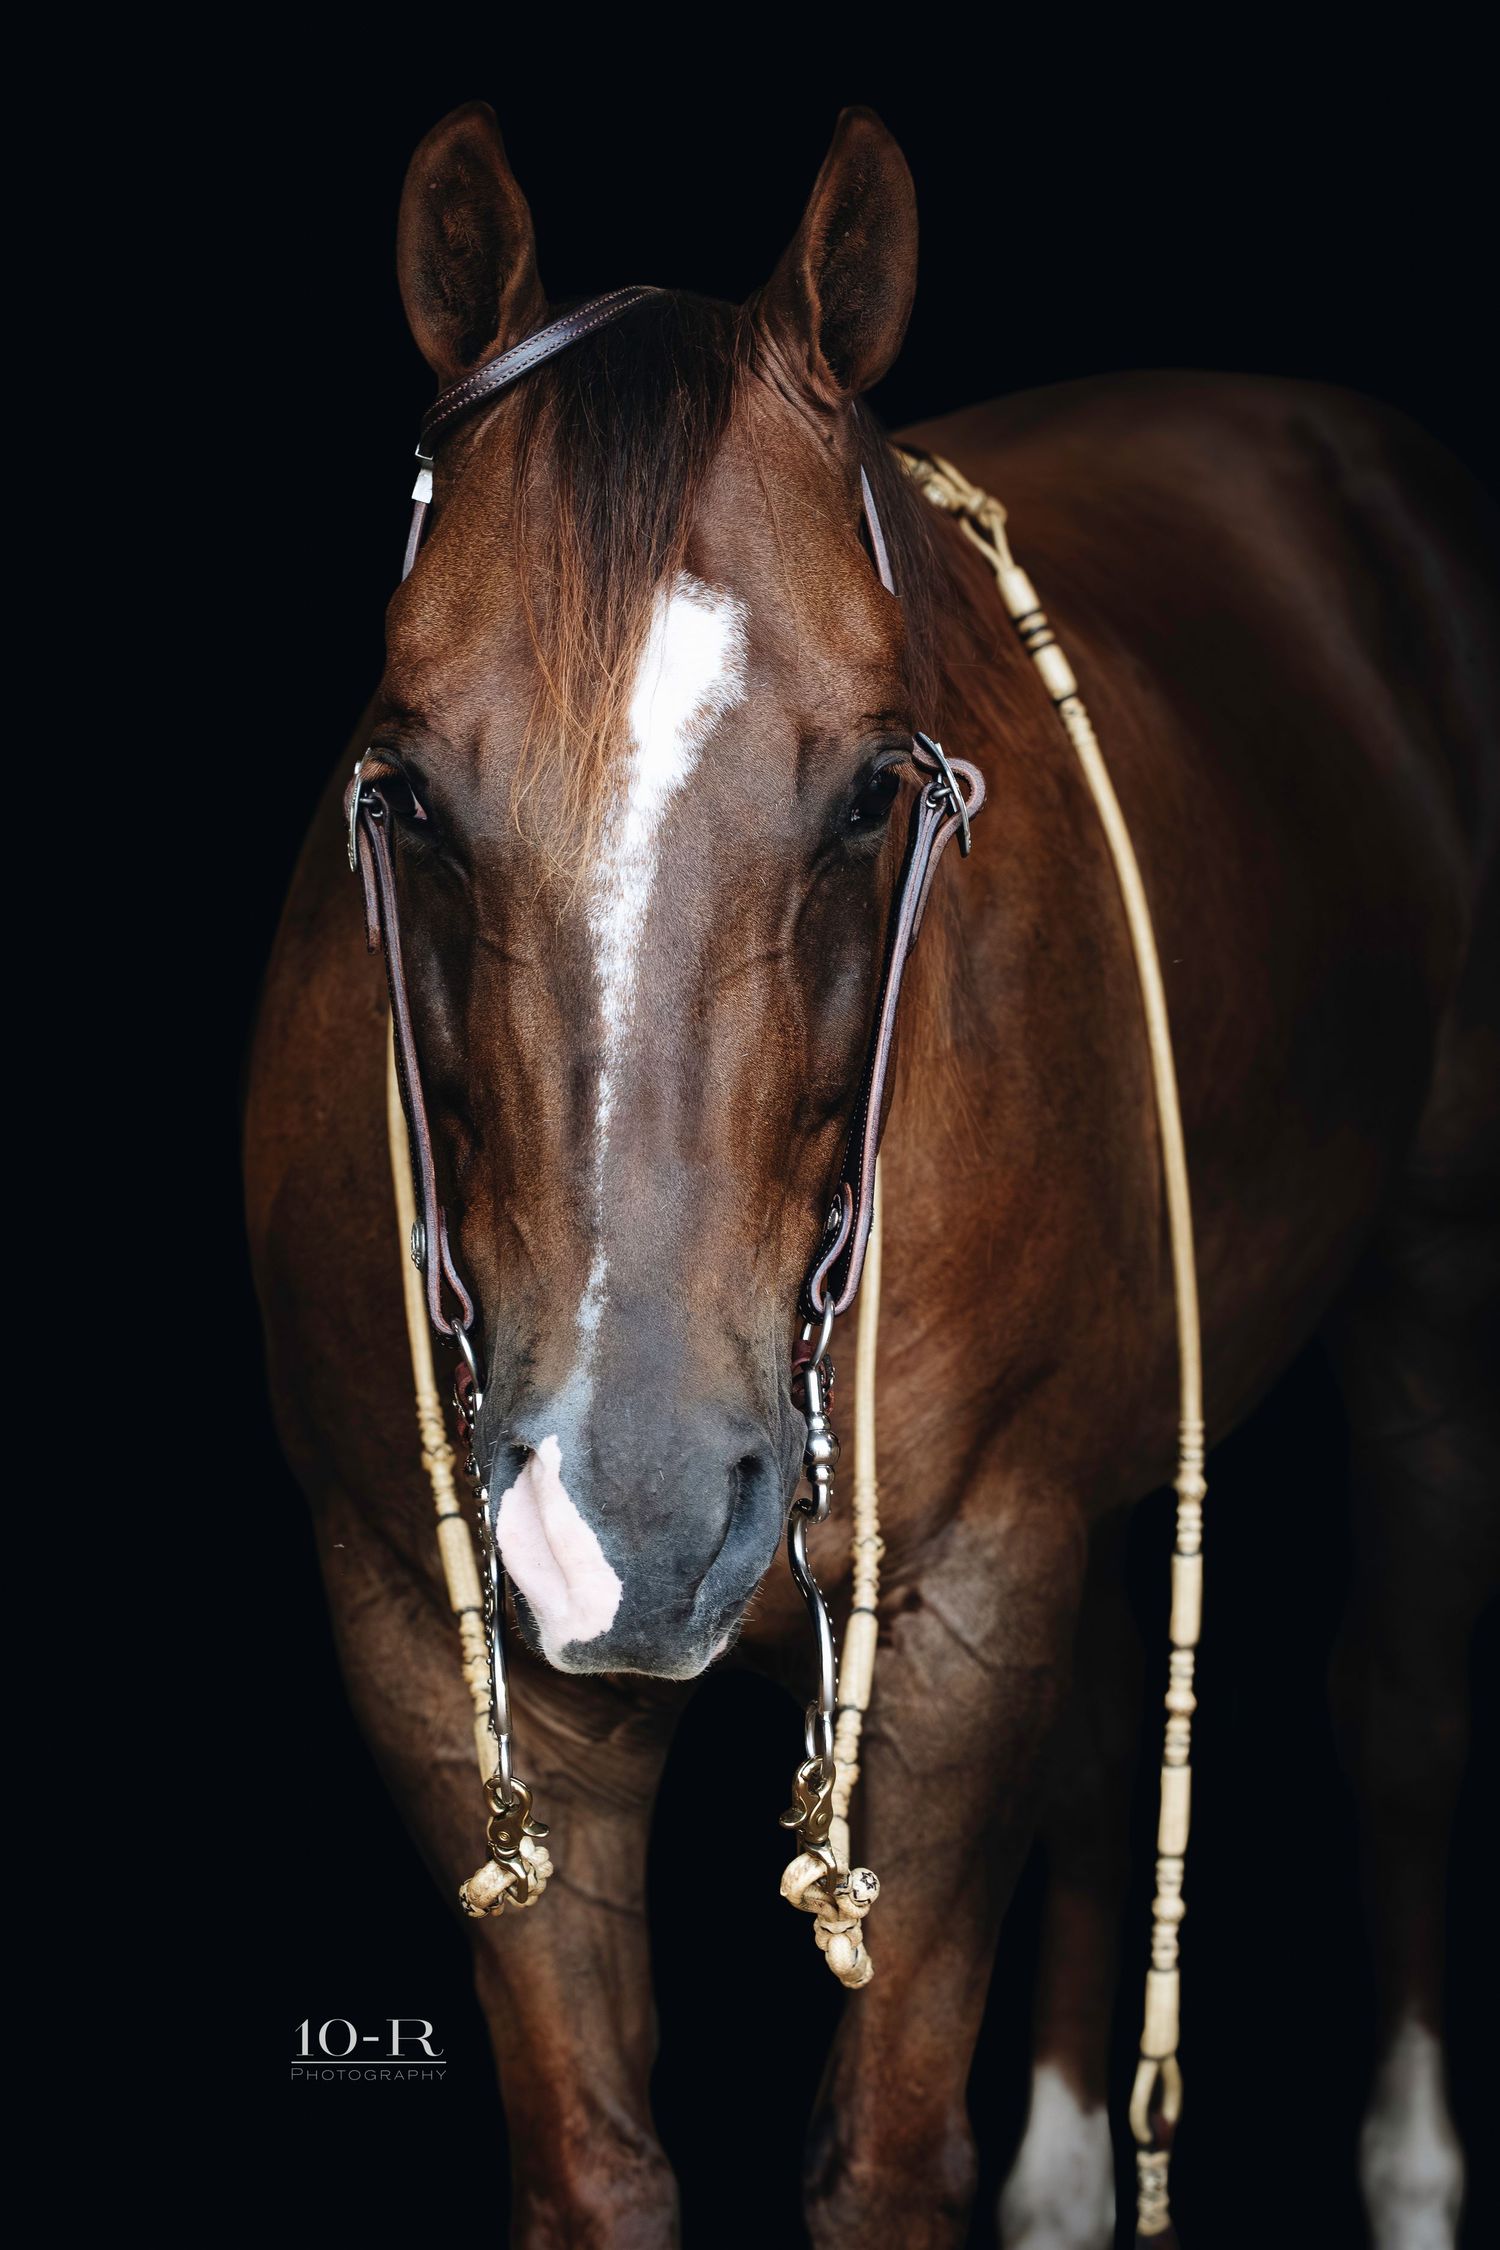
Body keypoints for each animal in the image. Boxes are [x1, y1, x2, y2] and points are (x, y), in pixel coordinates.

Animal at [244, 100, 1498, 2249]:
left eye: (869, 793)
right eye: (402, 793)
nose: (628, 1523)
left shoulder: (968, 1605)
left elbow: (887, 2156)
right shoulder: (433, 1652)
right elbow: (598, 2165)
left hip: (1432, 1284)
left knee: (1407, 1719)